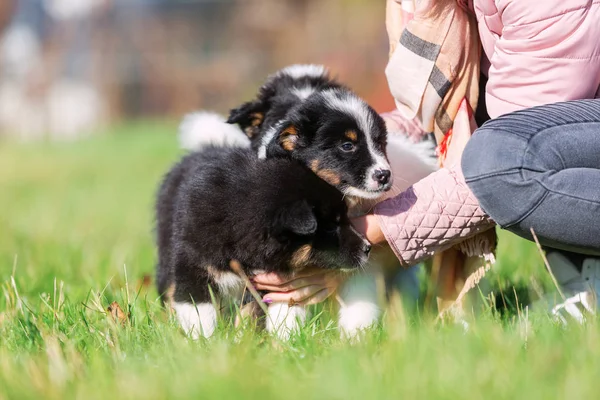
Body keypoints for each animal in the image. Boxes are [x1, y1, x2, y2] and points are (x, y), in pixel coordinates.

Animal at [155, 145, 370, 340]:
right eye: (331, 226)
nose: (367, 248)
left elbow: (257, 314)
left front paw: (252, 343)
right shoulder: (194, 267)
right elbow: (200, 312)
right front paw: (203, 342)